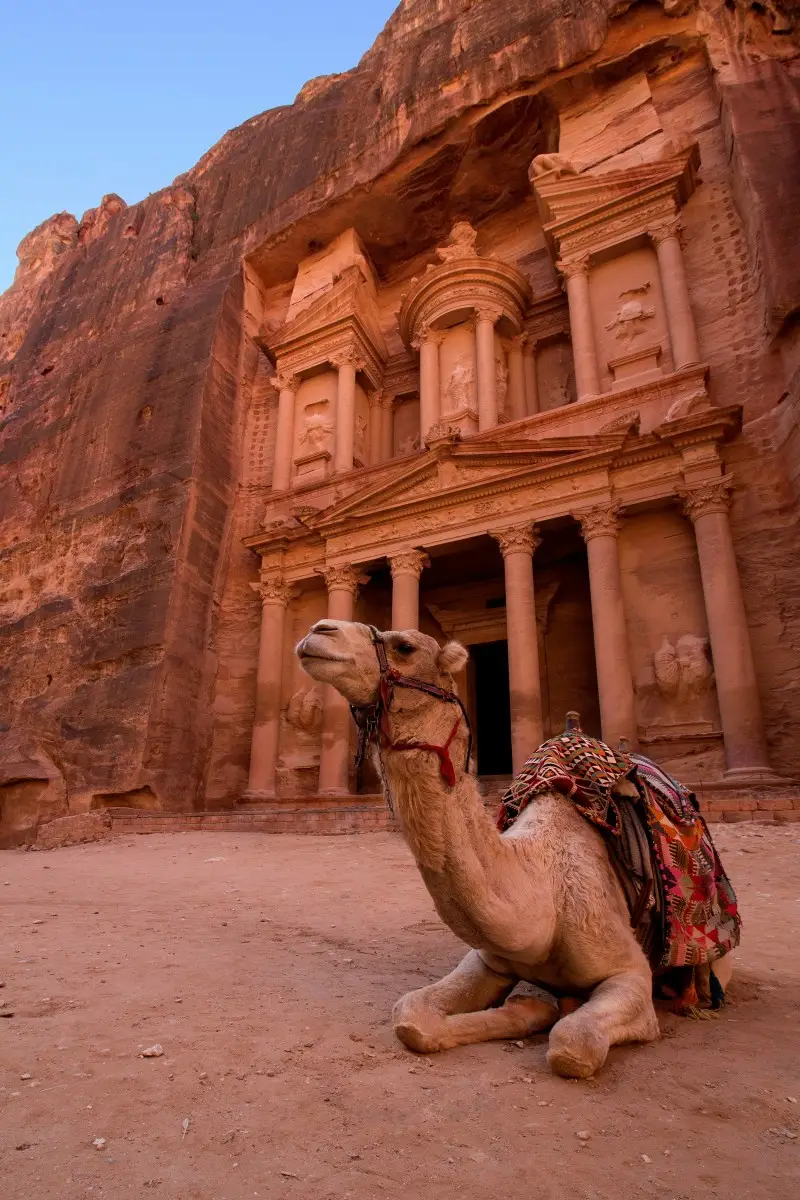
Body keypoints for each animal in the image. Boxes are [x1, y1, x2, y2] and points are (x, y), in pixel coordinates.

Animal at [297, 620, 687, 1078]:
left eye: (405, 646)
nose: (319, 630)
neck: (543, 893)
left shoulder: (630, 972)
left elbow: (573, 1043)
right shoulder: (487, 959)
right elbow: (411, 1016)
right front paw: (530, 1008)